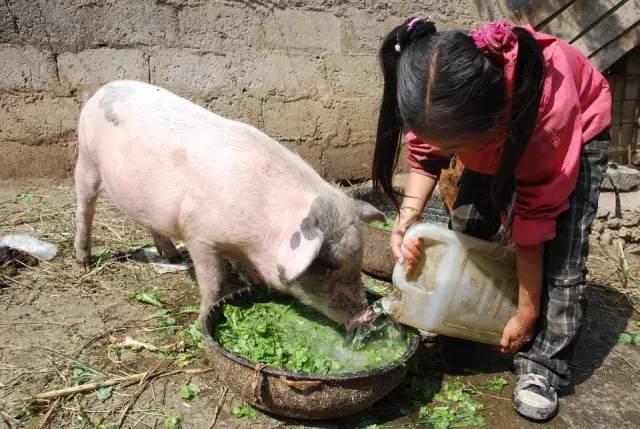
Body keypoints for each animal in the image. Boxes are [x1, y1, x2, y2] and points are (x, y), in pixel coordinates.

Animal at [72, 79, 382, 328]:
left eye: (359, 258)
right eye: (327, 264)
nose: (366, 316)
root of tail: (103, 89)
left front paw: (252, 284)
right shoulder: (199, 236)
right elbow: (213, 283)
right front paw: (200, 323)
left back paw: (171, 257)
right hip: (86, 158)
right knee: (85, 207)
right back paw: (83, 262)